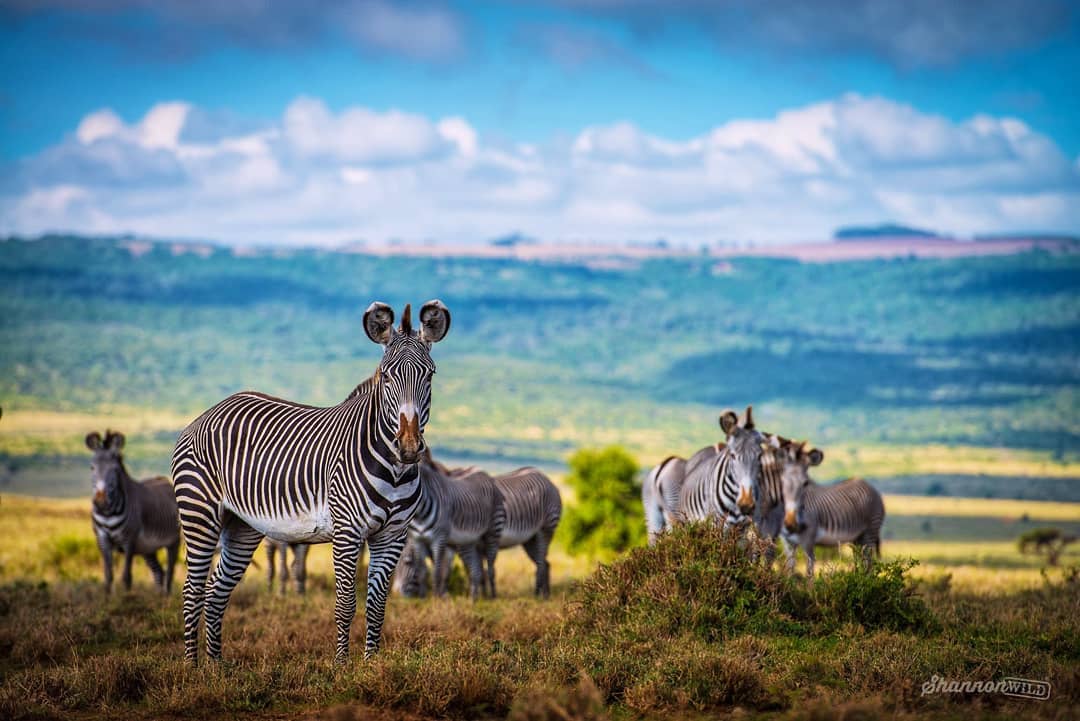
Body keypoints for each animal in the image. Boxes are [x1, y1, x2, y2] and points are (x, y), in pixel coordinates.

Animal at [86, 430, 180, 595]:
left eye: (115, 469)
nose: (101, 502)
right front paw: (107, 598)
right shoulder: (102, 539)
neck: (108, 513)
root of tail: (164, 479)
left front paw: (127, 598)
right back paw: (159, 598)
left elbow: (126, 576)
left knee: (170, 573)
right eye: (92, 468)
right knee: (159, 572)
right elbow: (108, 576)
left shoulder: (129, 540)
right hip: (148, 548)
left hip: (173, 541)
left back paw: (166, 598)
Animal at [171, 300, 451, 664]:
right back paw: (192, 667)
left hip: (242, 525)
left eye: (429, 374)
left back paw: (215, 667)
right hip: (199, 513)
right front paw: (343, 666)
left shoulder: (393, 535)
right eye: (387, 376)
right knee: (192, 590)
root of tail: (207, 413)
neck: (394, 469)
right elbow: (346, 604)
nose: (408, 446)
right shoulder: (347, 532)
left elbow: (377, 606)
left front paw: (372, 665)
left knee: (216, 590)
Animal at [410, 454, 505, 600]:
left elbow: (437, 572)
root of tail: (487, 477)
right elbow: (421, 572)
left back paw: (492, 597)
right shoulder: (417, 540)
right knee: (477, 570)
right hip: (470, 540)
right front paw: (422, 598)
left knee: (490, 568)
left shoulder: (439, 538)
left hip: (493, 532)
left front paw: (436, 598)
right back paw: (474, 599)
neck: (420, 514)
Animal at [482, 466, 562, 599]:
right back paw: (546, 595)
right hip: (530, 540)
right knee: (545, 563)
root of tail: (547, 479)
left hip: (546, 528)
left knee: (541, 563)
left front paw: (490, 597)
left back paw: (537, 595)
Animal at [775, 440, 886, 577]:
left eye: (806, 483)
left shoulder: (809, 539)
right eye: (781, 482)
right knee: (860, 562)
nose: (791, 523)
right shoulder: (787, 542)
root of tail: (871, 487)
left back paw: (867, 581)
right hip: (858, 538)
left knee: (868, 563)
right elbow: (790, 570)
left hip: (870, 531)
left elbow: (809, 572)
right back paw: (859, 579)